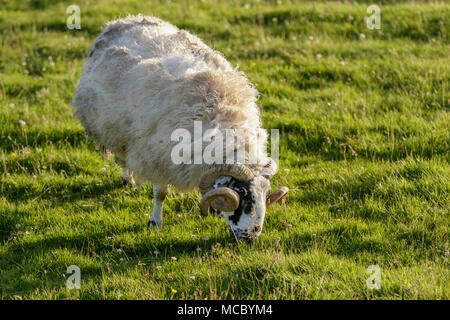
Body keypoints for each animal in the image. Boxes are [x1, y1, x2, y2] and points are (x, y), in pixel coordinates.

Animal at [71, 15, 286, 240]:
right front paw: (154, 222)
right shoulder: (158, 156)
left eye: (266, 194)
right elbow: (160, 194)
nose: (250, 236)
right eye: (243, 194)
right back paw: (127, 178)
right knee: (121, 154)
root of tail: (125, 19)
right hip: (112, 126)